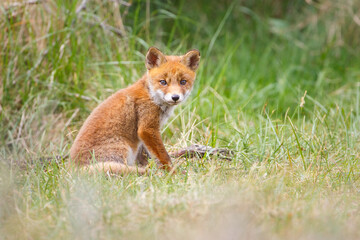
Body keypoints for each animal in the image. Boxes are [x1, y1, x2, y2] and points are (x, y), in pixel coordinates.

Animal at [70, 47, 200, 174]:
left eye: (183, 82)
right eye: (163, 82)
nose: (175, 97)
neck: (151, 96)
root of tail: (75, 169)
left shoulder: (145, 135)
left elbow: (147, 156)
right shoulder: (147, 129)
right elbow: (163, 155)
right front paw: (172, 172)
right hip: (125, 148)